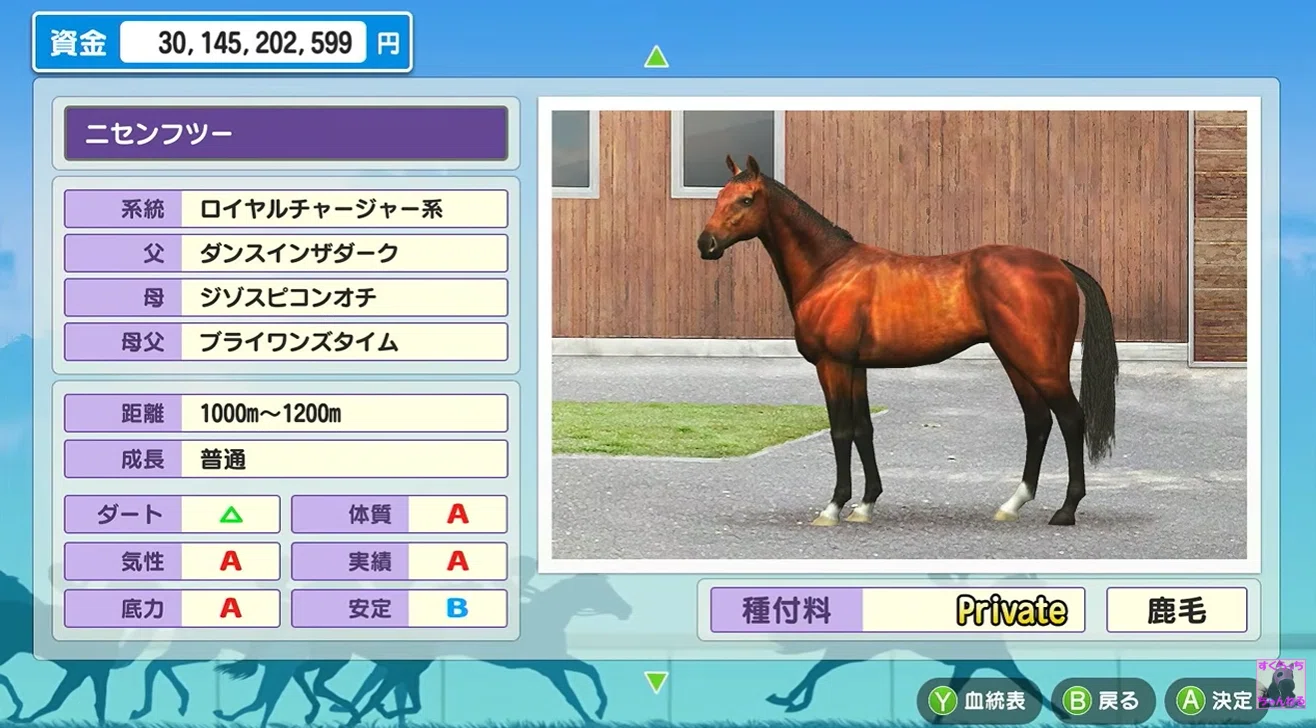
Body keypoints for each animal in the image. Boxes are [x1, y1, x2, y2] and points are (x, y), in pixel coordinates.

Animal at [697, 155, 1118, 528]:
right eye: (719, 196)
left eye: (746, 199)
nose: (706, 244)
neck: (829, 270)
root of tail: (1059, 265)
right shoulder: (856, 368)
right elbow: (863, 430)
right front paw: (866, 504)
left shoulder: (833, 365)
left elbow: (841, 431)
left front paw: (834, 507)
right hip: (1015, 360)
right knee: (1038, 421)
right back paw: (1013, 503)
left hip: (1041, 364)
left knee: (1070, 419)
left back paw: (1066, 510)